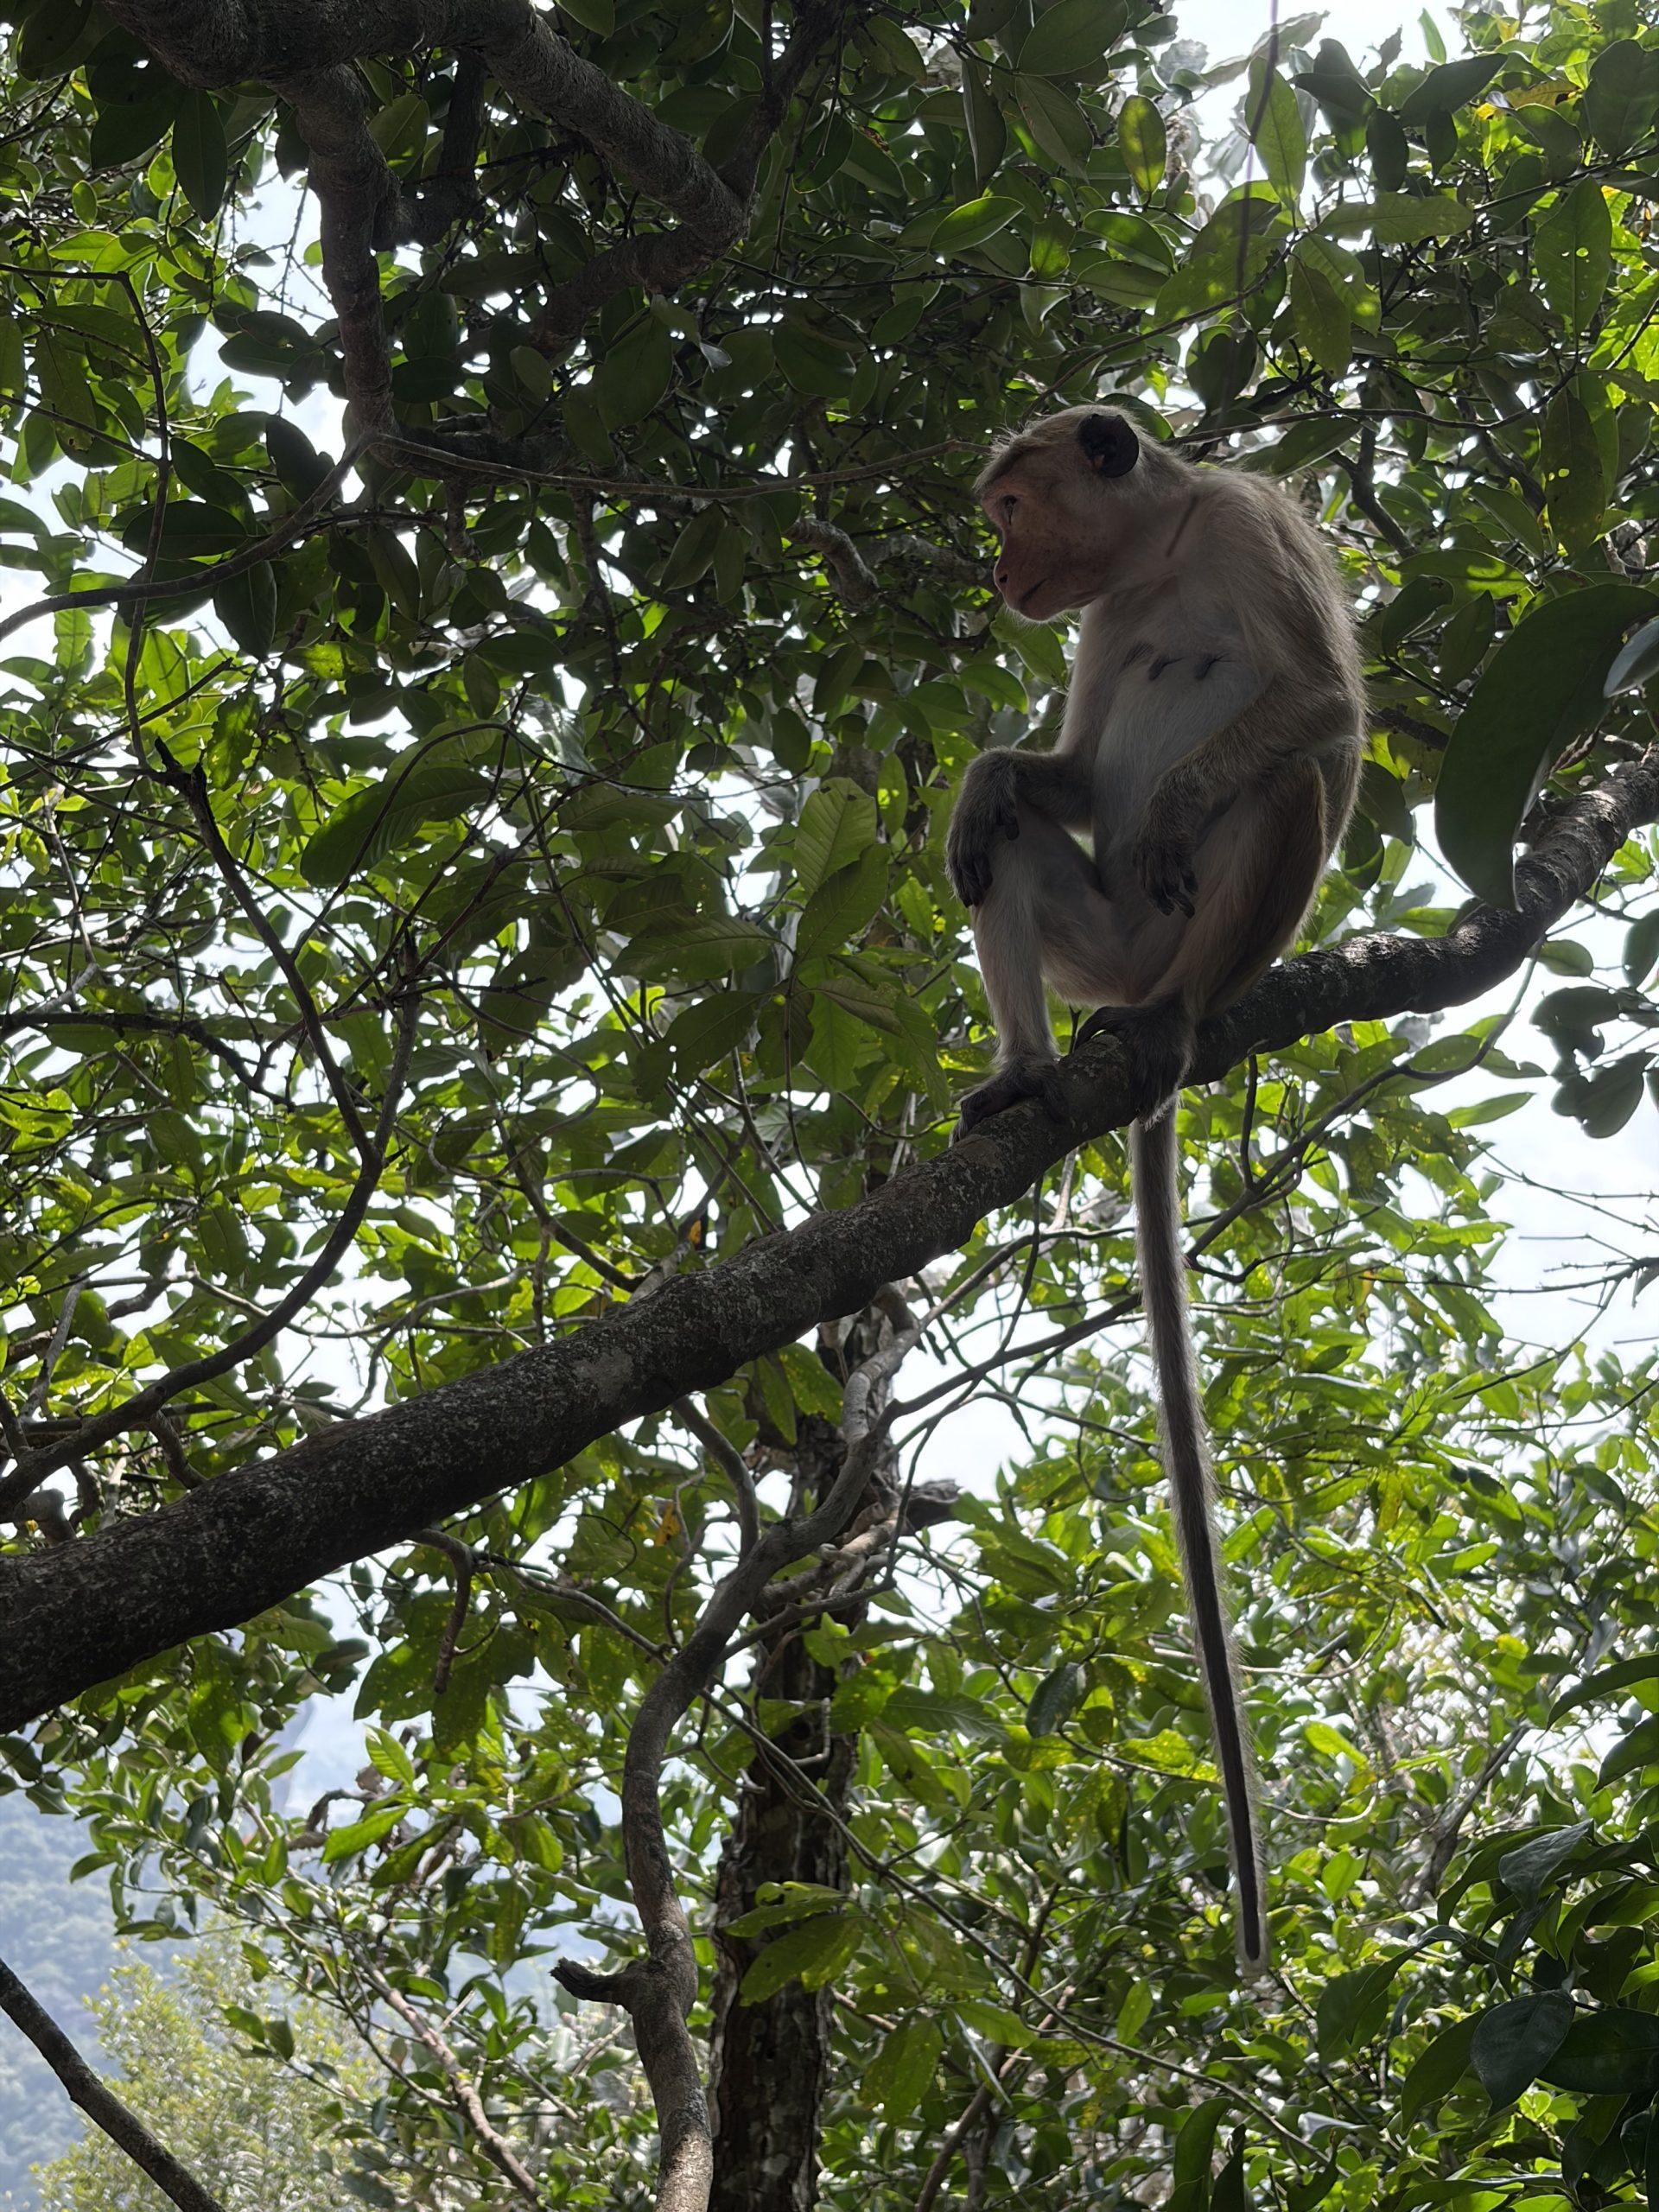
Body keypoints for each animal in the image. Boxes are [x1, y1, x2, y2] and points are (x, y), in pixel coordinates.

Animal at [946, 406, 1364, 1970]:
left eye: (1012, 507)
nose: (998, 571)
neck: (1167, 547)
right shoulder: (1106, 616)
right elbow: (1049, 771)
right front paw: (988, 772)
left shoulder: (1257, 530)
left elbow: (1322, 705)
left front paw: (1179, 800)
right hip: (1097, 943)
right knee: (1019, 853)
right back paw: (1023, 1065)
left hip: (1199, 935)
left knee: (1283, 784)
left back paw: (1178, 1016)